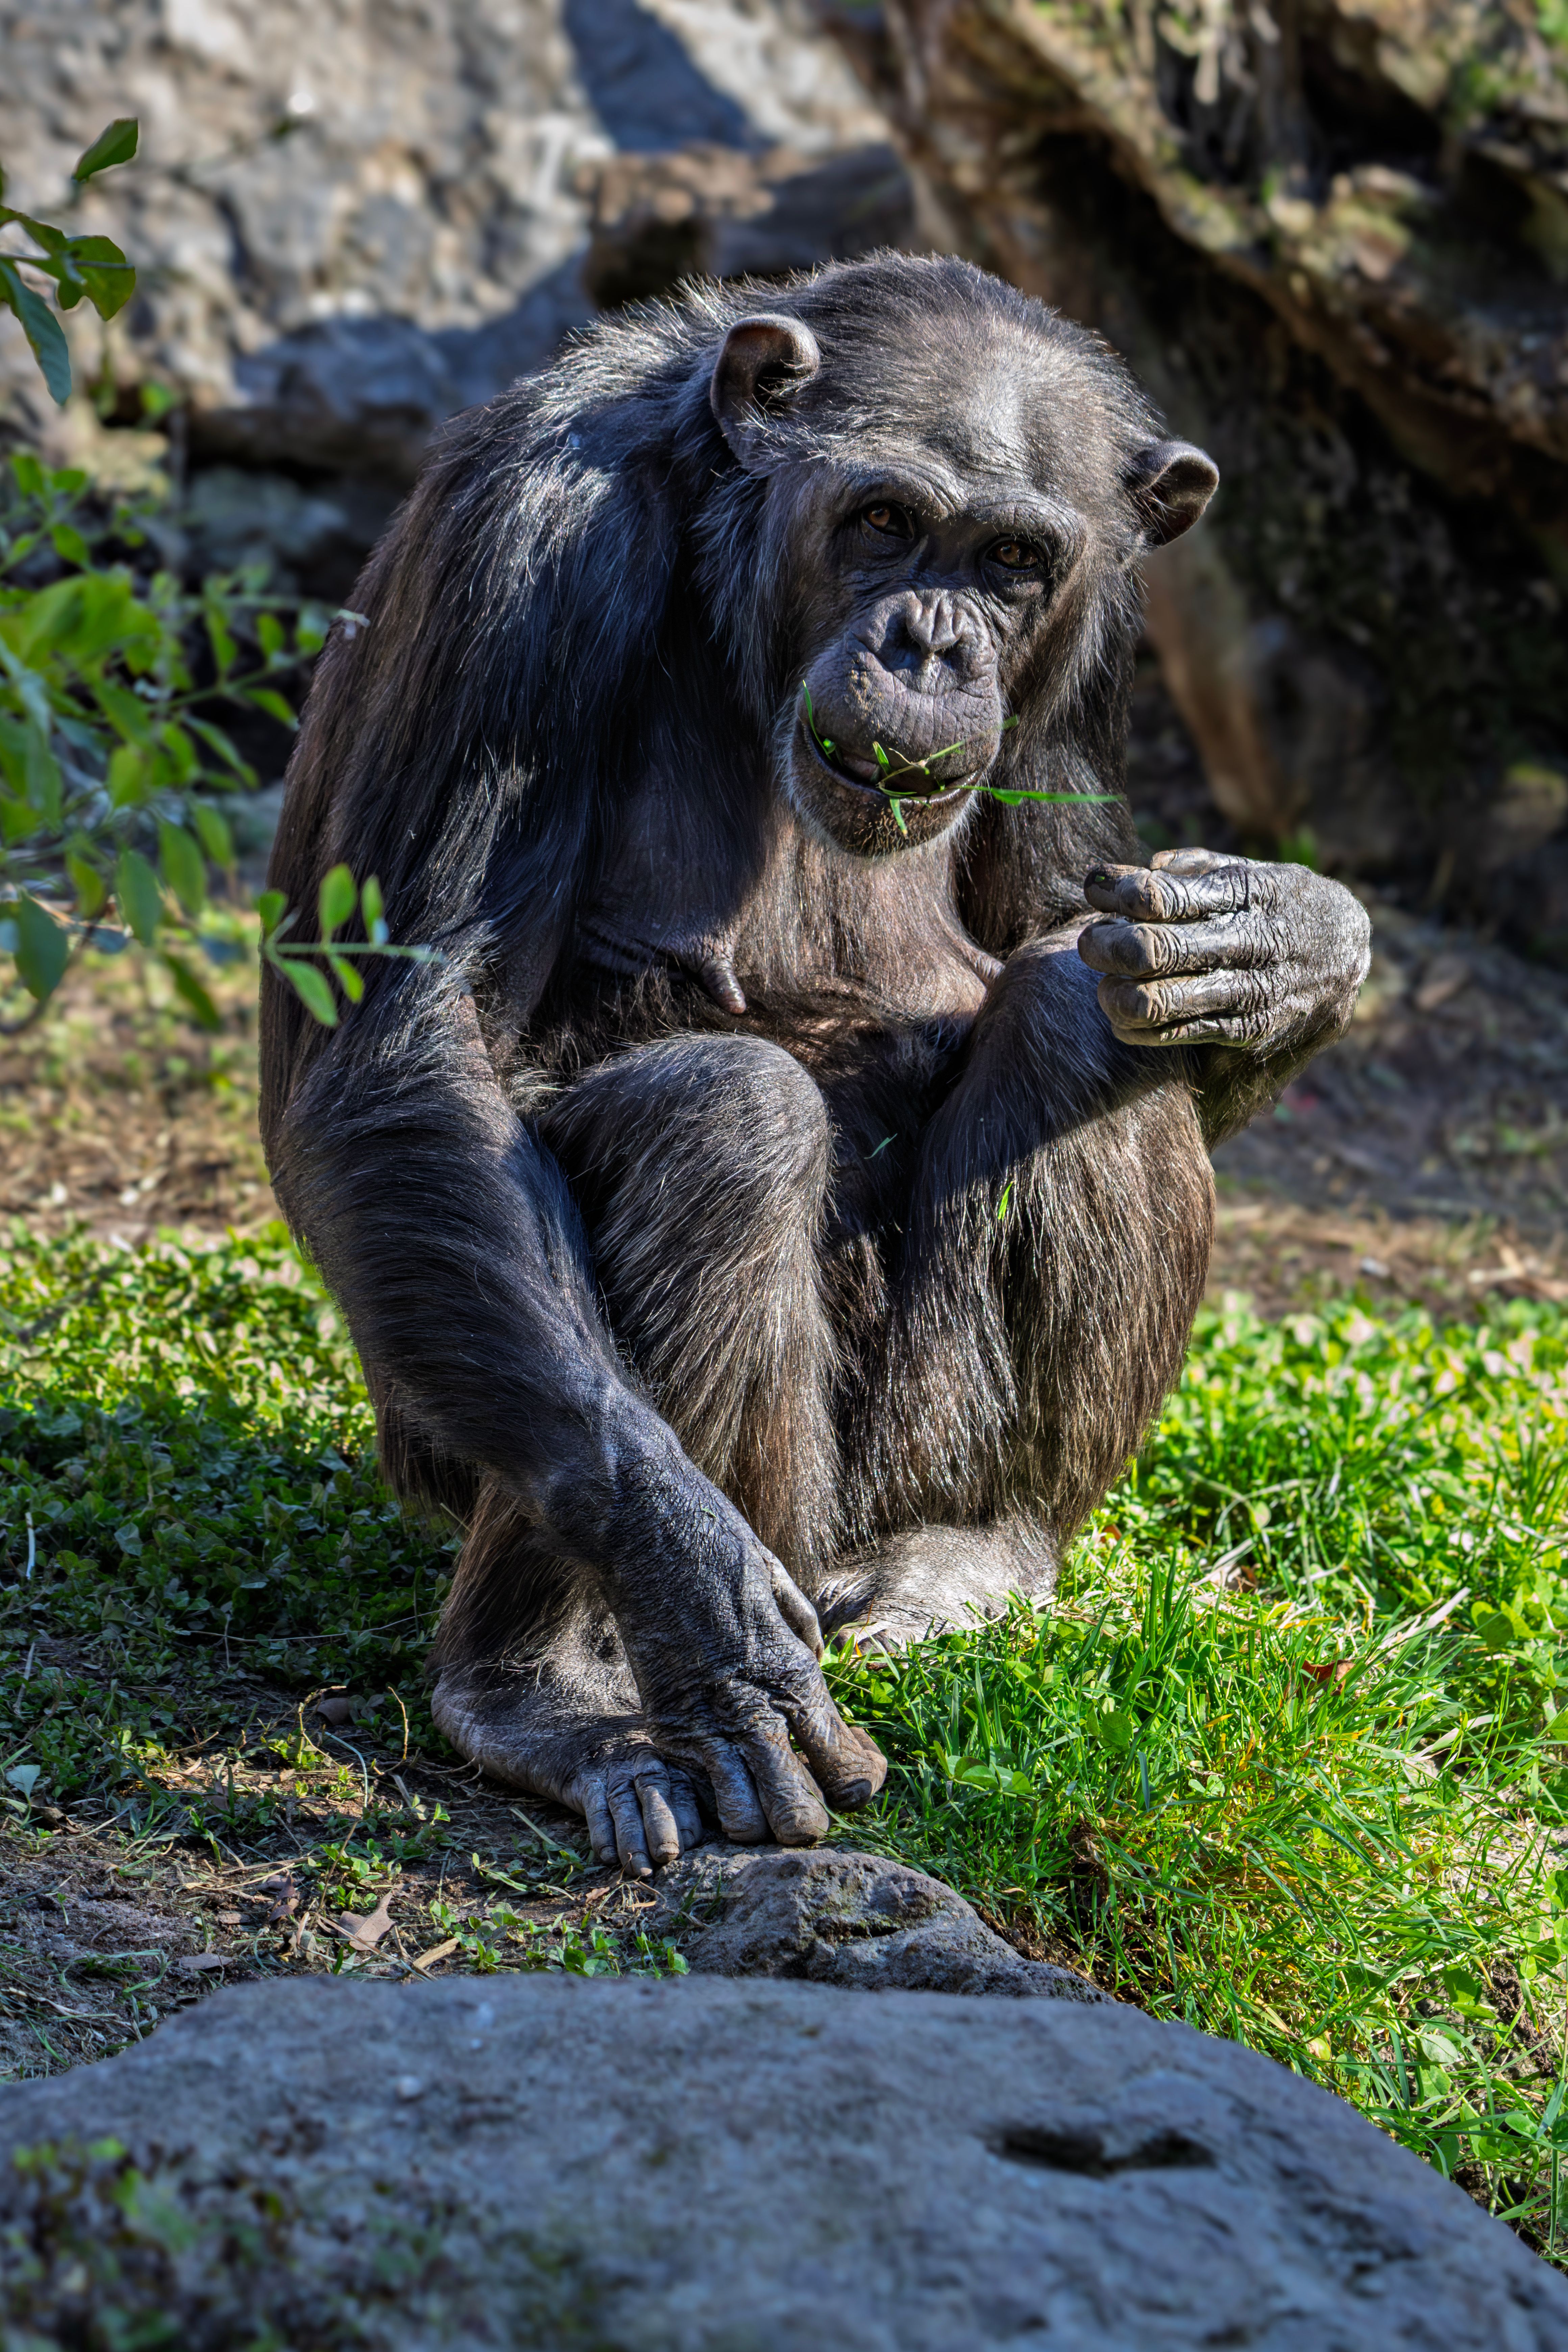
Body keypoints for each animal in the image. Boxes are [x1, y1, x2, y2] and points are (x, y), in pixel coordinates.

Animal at [260, 253, 1370, 1878]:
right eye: (885, 521)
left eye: (1014, 560)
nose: (931, 643)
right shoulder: (523, 547)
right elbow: (412, 1036)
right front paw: (699, 1606)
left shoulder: (1097, 649)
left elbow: (1077, 925)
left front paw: (1291, 941)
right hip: (500, 1450)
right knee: (719, 1120)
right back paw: (554, 1690)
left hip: (899, 1466)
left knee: (1079, 1020)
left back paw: (973, 1552)